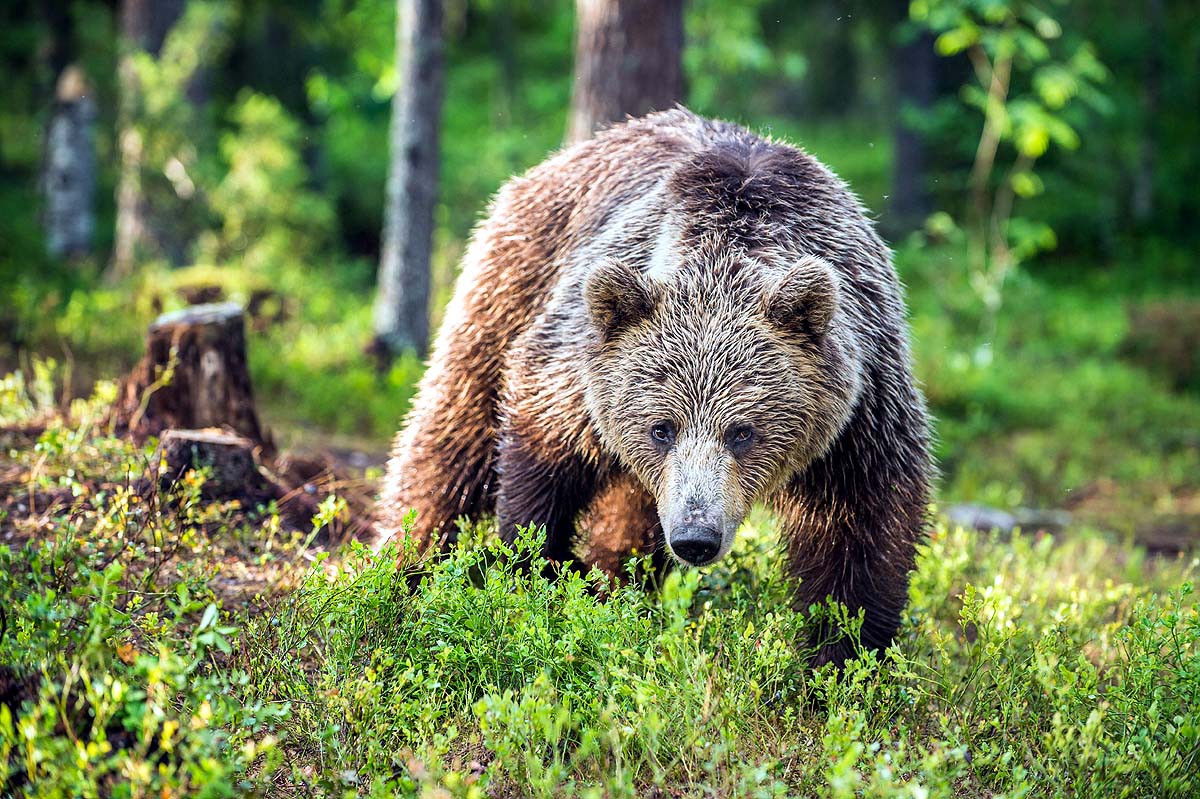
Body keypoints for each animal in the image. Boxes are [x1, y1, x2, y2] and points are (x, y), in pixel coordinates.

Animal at [376, 108, 933, 666]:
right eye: (662, 428)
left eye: (743, 432)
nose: (695, 537)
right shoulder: (577, 376)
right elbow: (539, 461)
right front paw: (542, 571)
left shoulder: (859, 412)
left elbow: (861, 532)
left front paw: (842, 654)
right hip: (512, 279)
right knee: (451, 434)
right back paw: (399, 565)